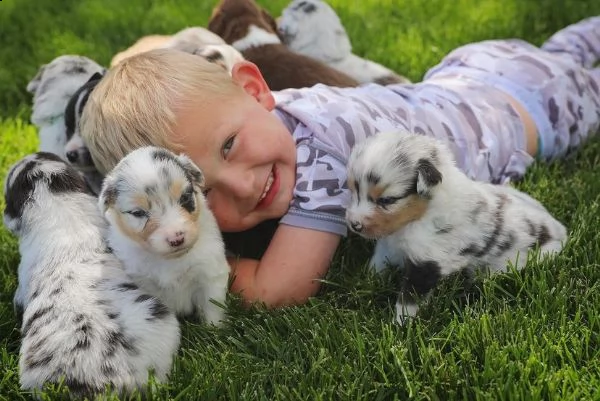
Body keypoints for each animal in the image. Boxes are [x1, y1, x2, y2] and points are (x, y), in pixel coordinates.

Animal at [98, 145, 230, 324]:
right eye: (138, 213)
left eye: (185, 197)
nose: (177, 239)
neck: (169, 260)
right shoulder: (144, 284)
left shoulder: (210, 274)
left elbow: (213, 311)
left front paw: (214, 327)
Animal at [346, 131, 568, 324]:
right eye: (353, 191)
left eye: (387, 200)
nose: (354, 224)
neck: (418, 217)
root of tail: (561, 231)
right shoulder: (389, 244)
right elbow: (378, 263)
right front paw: (366, 280)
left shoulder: (427, 262)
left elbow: (409, 299)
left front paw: (401, 325)